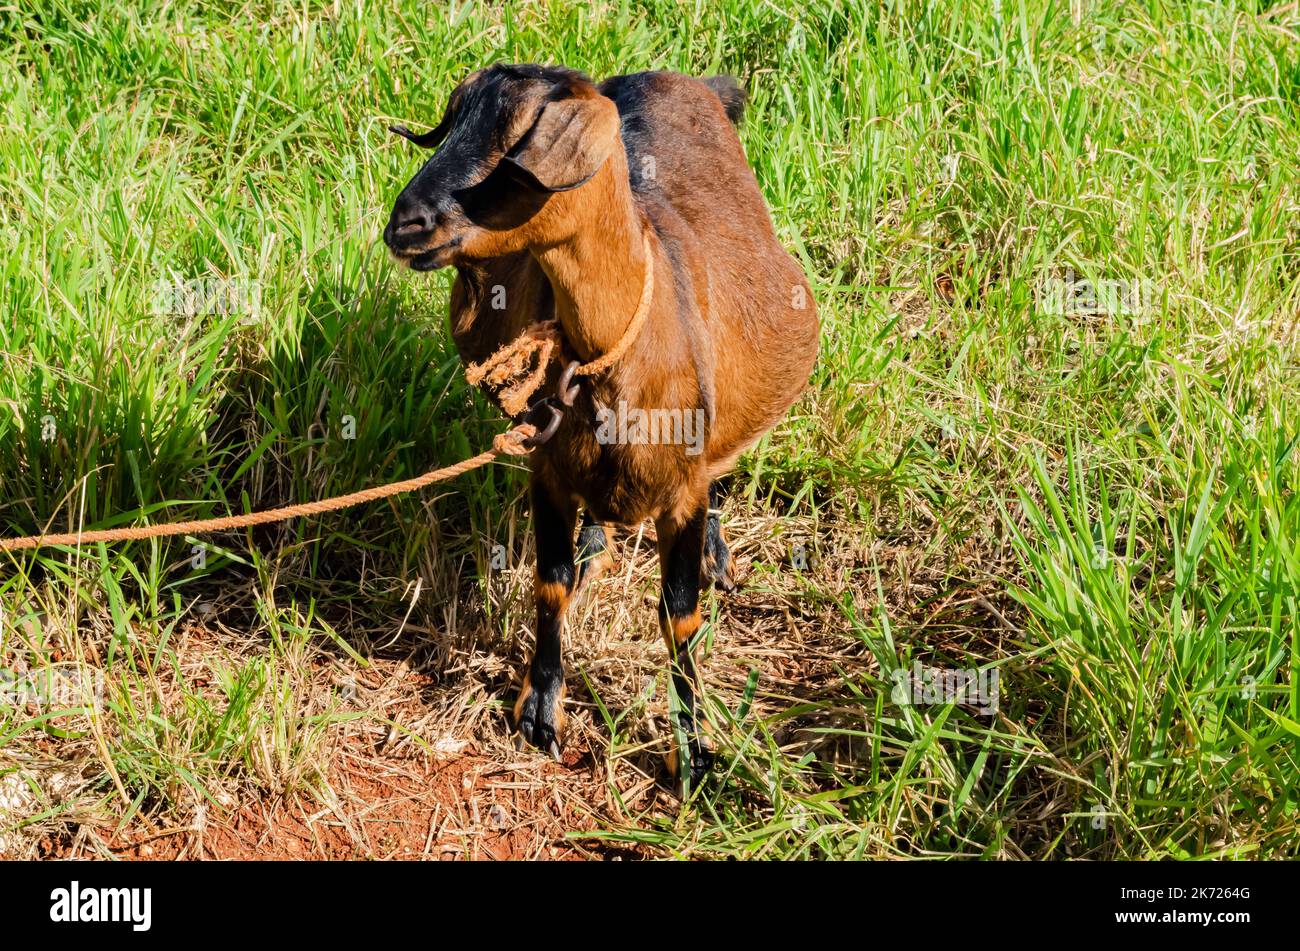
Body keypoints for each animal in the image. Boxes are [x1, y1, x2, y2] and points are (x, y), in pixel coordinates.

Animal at [384, 64, 819, 786]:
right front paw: (539, 711)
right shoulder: (547, 468)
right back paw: (596, 542)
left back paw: (716, 550)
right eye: (453, 127)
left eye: (516, 149)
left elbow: (680, 615)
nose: (404, 224)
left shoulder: (681, 491)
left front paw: (693, 752)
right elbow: (552, 582)